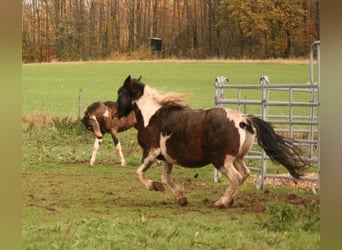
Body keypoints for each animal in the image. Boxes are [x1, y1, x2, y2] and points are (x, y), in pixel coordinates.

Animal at [115, 75, 308, 208]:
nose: (116, 115)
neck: (151, 117)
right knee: (245, 174)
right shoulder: (167, 159)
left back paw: (221, 203)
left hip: (222, 161)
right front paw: (181, 198)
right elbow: (166, 178)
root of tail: (243, 119)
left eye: (120, 93)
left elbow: (140, 172)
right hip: (237, 159)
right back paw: (229, 200)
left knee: (236, 178)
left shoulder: (151, 152)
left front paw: (154, 186)